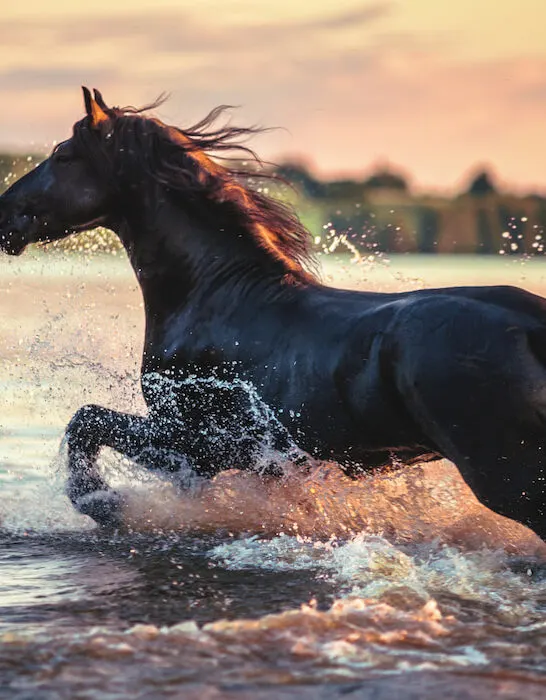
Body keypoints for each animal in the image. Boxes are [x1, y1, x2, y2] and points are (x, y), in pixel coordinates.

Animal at [0, 85, 540, 540]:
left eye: (63, 155)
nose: (5, 214)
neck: (215, 294)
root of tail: (531, 328)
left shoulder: (196, 444)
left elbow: (84, 422)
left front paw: (107, 504)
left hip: (506, 476)